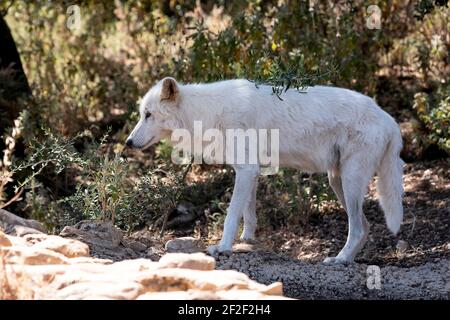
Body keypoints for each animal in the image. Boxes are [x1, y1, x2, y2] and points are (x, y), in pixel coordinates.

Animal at [126, 77, 404, 262]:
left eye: (147, 115)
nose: (128, 142)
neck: (208, 113)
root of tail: (389, 119)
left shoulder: (246, 170)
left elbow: (230, 216)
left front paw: (223, 247)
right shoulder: (251, 171)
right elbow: (248, 213)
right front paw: (246, 241)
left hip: (349, 181)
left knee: (357, 228)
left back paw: (340, 259)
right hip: (337, 181)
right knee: (365, 226)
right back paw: (347, 259)